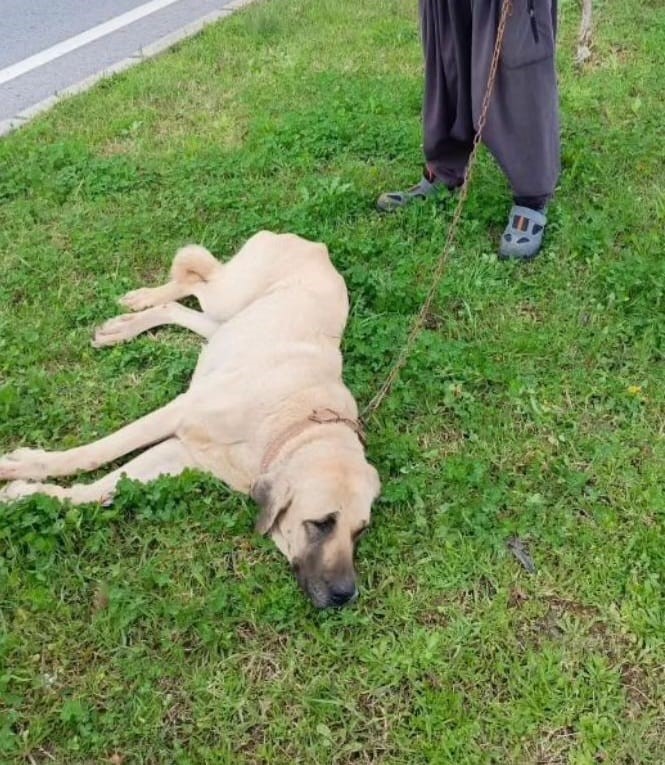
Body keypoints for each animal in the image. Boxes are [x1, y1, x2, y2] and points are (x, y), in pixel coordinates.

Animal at [0, 233, 382, 608]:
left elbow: (102, 488)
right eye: (321, 523)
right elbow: (94, 454)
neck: (290, 426)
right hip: (229, 296)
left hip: (230, 322)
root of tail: (317, 247)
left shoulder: (182, 453)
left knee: (185, 309)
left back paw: (127, 325)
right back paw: (143, 299)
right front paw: (25, 466)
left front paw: (31, 494)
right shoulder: (178, 413)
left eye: (360, 531)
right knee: (197, 279)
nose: (346, 595)